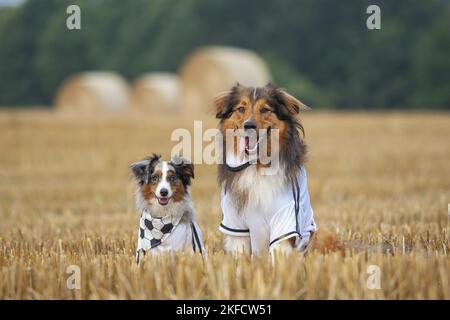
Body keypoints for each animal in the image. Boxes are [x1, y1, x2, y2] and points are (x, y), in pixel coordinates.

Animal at [214, 84, 342, 256]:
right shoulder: (235, 222)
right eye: (241, 108)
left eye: (264, 109)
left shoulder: (285, 220)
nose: (249, 125)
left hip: (323, 234)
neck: (256, 164)